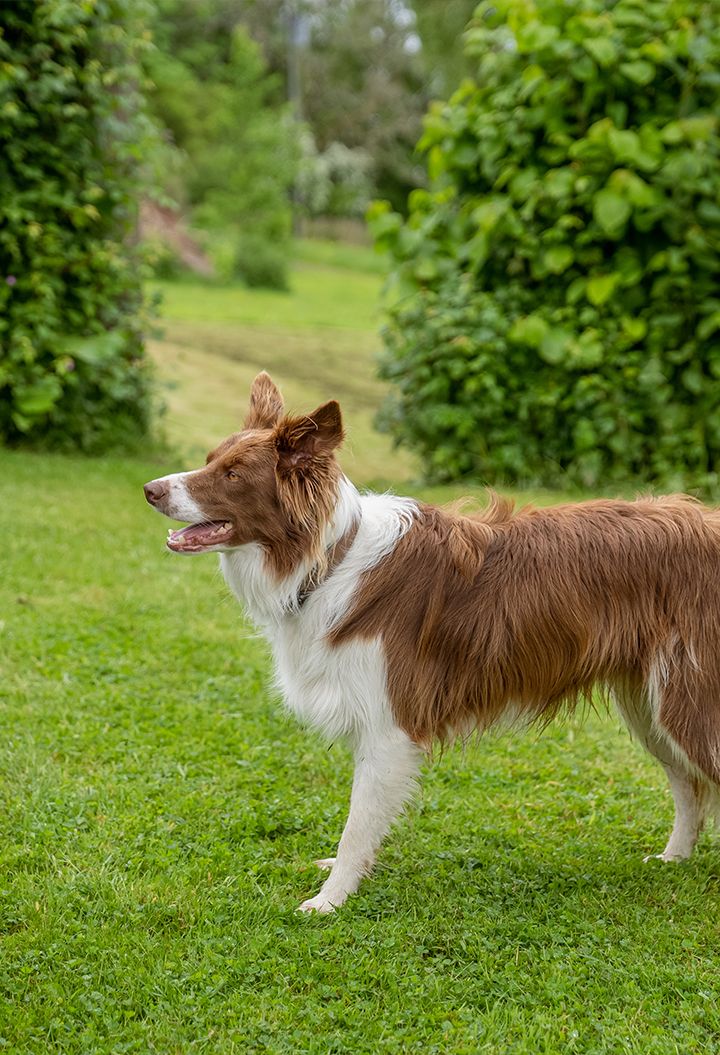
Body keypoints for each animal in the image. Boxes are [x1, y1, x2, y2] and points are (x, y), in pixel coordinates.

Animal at [142, 375, 717, 911]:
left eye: (233, 475)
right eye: (210, 460)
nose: (150, 489)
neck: (329, 560)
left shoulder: (389, 728)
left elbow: (357, 826)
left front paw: (329, 900)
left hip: (687, 700)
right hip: (651, 705)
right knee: (689, 786)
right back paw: (673, 858)